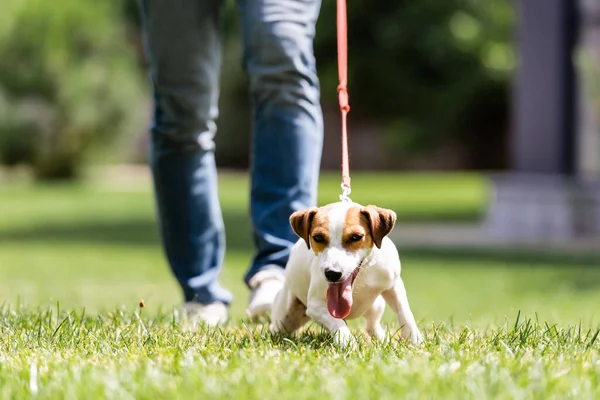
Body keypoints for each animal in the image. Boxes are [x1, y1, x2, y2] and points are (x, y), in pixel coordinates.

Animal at [270, 202, 424, 346]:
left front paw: (414, 338)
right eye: (318, 237)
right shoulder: (315, 305)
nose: (332, 274)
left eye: (356, 237)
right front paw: (346, 340)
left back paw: (383, 339)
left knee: (372, 325)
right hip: (285, 316)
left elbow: (404, 311)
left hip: (376, 305)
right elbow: (336, 322)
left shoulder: (394, 285)